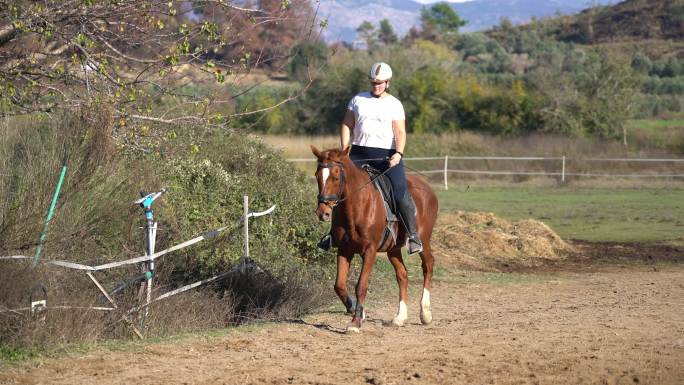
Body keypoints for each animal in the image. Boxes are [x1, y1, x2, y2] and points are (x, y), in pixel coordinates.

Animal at [312, 146, 438, 332]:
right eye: (317, 176)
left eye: (335, 177)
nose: (323, 213)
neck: (357, 205)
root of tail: (427, 187)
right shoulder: (344, 250)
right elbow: (339, 285)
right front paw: (358, 312)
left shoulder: (369, 251)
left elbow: (361, 286)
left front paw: (355, 322)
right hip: (393, 249)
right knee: (402, 275)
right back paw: (400, 317)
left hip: (424, 239)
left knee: (428, 265)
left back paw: (425, 313)